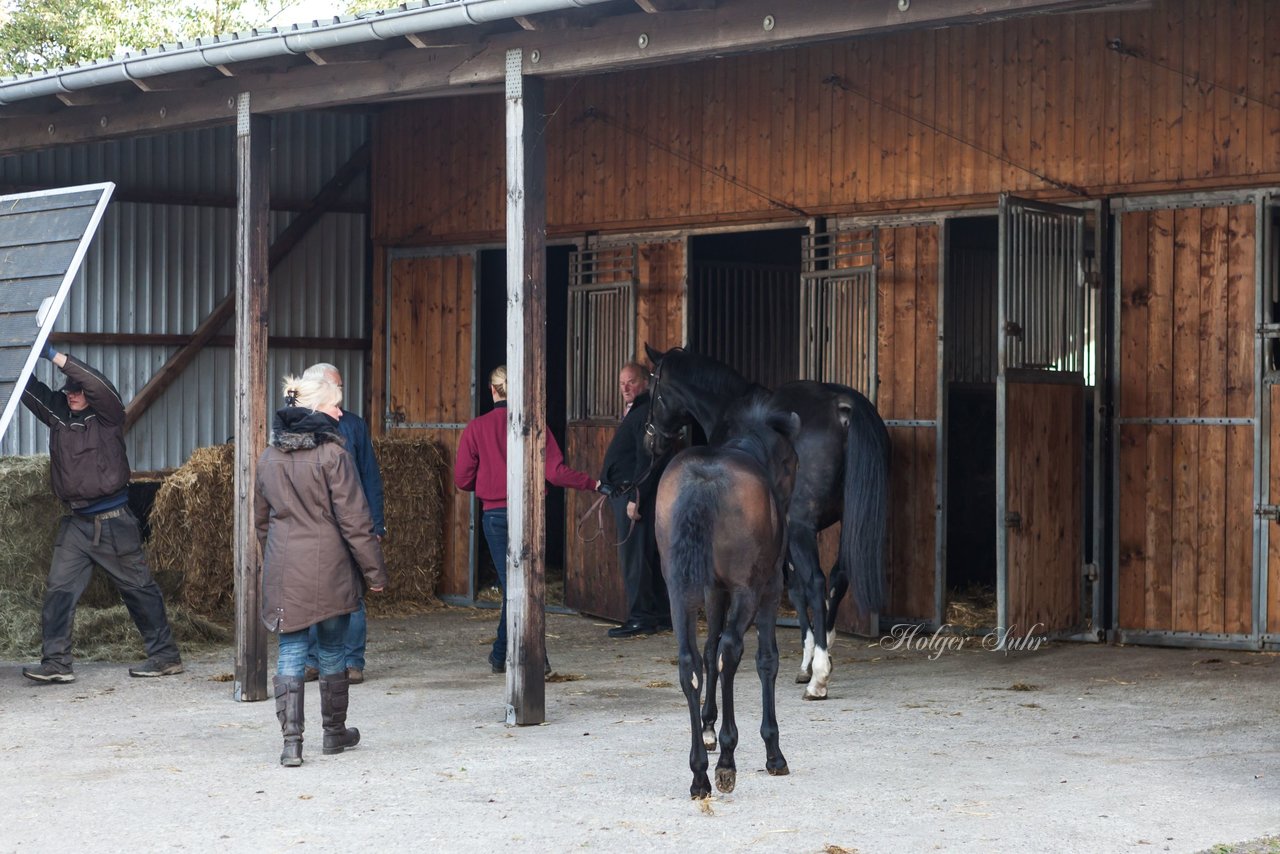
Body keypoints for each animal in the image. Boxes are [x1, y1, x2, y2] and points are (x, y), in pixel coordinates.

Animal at [640, 343, 890, 696]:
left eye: (652, 389)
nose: (651, 442)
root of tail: (843, 408)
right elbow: (796, 590)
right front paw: (812, 656)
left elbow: (798, 589)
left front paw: (810, 664)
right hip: (842, 522)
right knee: (838, 578)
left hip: (801, 526)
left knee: (817, 582)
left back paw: (819, 678)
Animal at [660, 396, 798, 798]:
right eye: (791, 462)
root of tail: (703, 481)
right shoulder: (767, 589)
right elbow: (766, 659)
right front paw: (772, 752)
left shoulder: (713, 589)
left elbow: (707, 651)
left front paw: (707, 729)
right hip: (748, 591)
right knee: (730, 652)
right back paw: (725, 762)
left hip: (680, 591)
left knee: (690, 663)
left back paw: (699, 774)